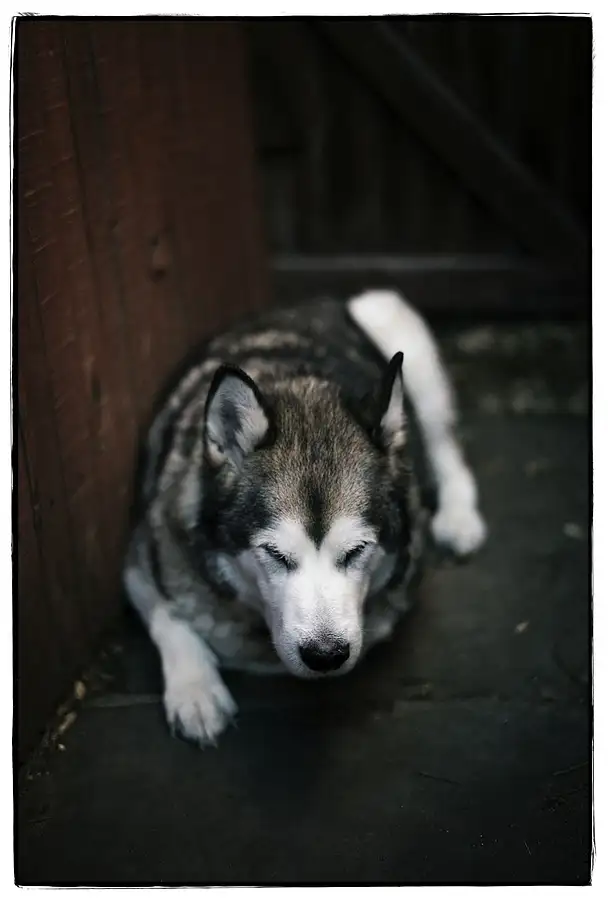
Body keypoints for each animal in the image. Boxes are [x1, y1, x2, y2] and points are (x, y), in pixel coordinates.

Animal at [124, 290, 486, 746]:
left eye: (357, 550)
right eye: (275, 554)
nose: (325, 655)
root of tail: (313, 301)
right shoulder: (142, 555)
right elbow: (168, 616)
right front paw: (196, 690)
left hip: (395, 322)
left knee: (445, 445)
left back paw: (458, 518)